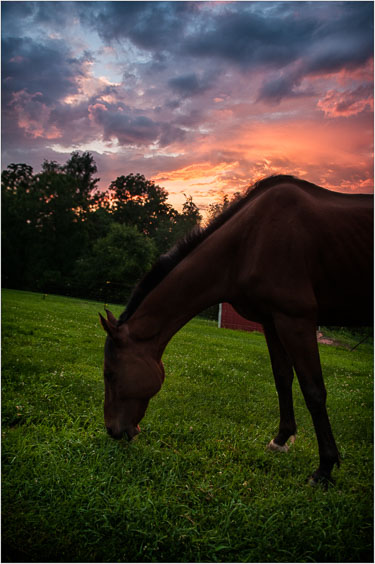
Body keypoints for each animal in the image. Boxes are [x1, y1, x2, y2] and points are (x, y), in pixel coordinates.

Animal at [100, 175, 374, 484]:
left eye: (110, 374)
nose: (112, 430)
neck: (249, 242)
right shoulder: (272, 321)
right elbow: (282, 379)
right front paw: (281, 439)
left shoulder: (297, 320)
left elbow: (314, 390)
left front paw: (324, 468)